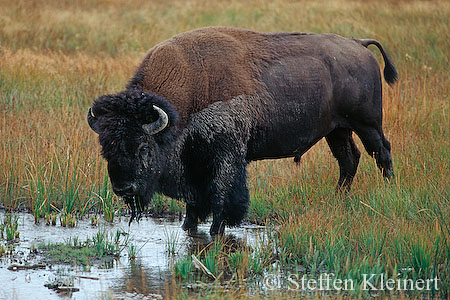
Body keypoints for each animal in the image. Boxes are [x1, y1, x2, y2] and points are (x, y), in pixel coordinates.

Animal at [88, 27, 398, 236]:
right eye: (106, 148)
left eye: (143, 147)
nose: (123, 188)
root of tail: (358, 44)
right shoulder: (194, 163)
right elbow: (194, 200)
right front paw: (189, 226)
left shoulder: (226, 154)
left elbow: (223, 193)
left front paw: (217, 228)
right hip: (337, 130)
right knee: (349, 159)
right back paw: (339, 197)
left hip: (367, 124)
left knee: (381, 152)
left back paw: (387, 190)